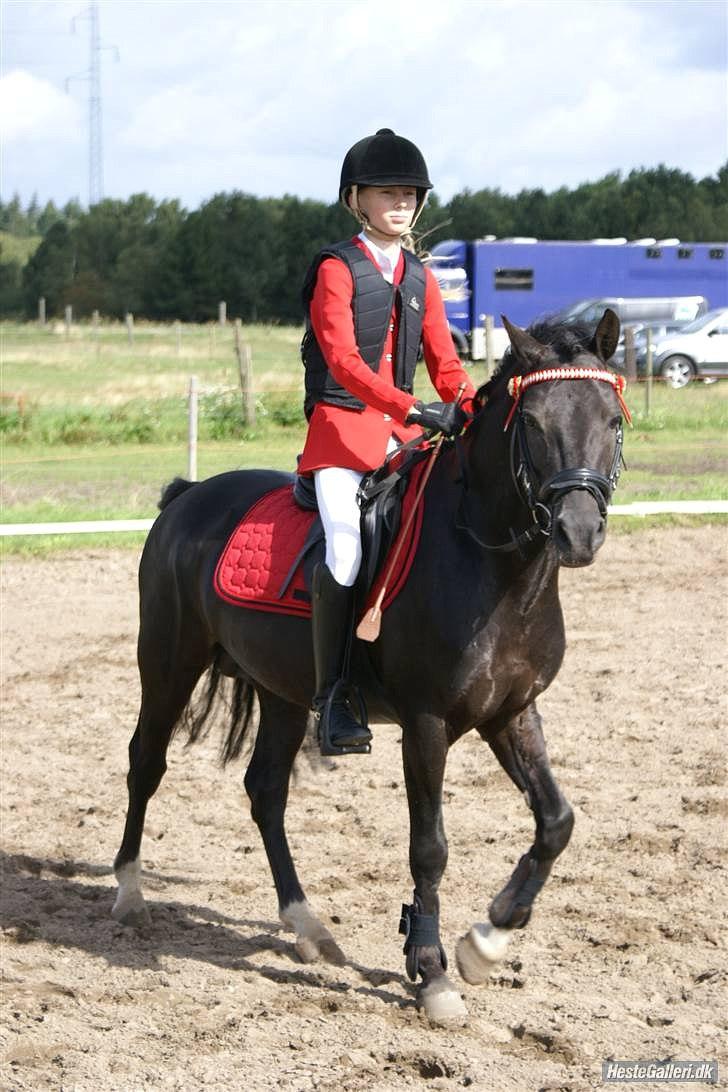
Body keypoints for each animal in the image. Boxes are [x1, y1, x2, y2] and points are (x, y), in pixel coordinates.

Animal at [112, 310, 628, 1022]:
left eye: (613, 419)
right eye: (531, 422)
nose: (578, 532)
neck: (494, 569)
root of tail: (187, 498)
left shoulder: (512, 713)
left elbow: (557, 822)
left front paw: (487, 941)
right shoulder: (427, 724)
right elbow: (430, 847)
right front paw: (432, 973)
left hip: (282, 691)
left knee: (265, 790)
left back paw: (308, 927)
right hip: (167, 662)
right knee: (147, 763)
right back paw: (130, 895)